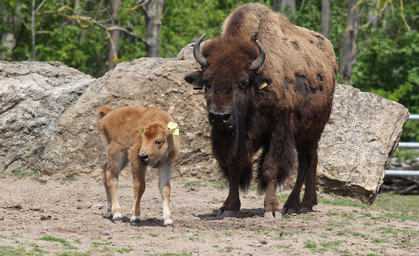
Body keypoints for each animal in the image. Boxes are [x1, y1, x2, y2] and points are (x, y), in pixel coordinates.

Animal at [186, 3, 338, 219]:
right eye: (207, 83)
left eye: (242, 83)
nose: (220, 117)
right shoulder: (239, 138)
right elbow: (235, 167)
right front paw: (228, 207)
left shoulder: (279, 129)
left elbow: (270, 167)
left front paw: (272, 209)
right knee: (312, 159)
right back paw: (307, 203)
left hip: (312, 130)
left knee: (305, 162)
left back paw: (294, 205)